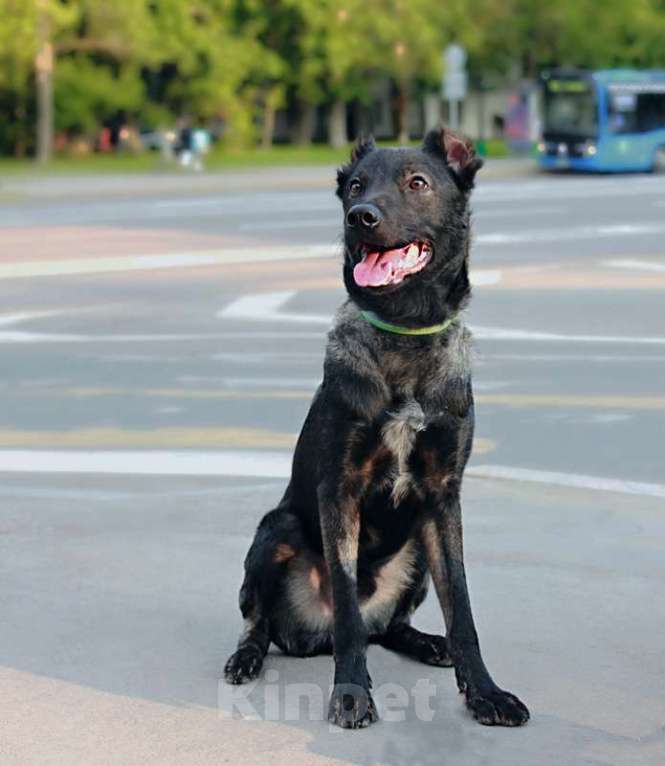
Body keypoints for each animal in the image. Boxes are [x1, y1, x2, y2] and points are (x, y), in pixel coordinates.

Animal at [224, 127, 528, 732]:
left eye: (418, 182)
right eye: (356, 186)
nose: (360, 217)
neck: (405, 332)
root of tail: (309, 637)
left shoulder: (444, 499)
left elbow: (462, 608)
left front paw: (484, 692)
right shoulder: (339, 492)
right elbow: (344, 604)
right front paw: (351, 693)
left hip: (417, 550)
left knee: (388, 627)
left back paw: (426, 643)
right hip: (276, 529)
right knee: (266, 622)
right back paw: (247, 656)